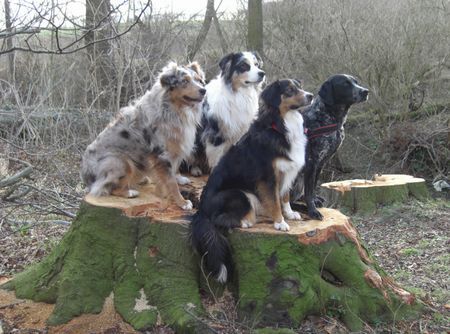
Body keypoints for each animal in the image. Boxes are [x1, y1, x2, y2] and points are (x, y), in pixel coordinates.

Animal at [191, 79, 312, 282]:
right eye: (289, 90)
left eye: (299, 86)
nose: (310, 96)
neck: (281, 125)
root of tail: (201, 211)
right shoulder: (268, 176)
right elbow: (274, 200)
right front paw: (280, 223)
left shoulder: (285, 171)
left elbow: (284, 197)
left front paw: (289, 213)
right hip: (238, 195)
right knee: (219, 219)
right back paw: (246, 221)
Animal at [292, 74, 370, 220]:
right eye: (345, 84)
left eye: (356, 82)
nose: (365, 91)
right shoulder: (311, 162)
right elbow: (309, 192)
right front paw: (313, 211)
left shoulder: (321, 163)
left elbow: (313, 187)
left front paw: (315, 200)